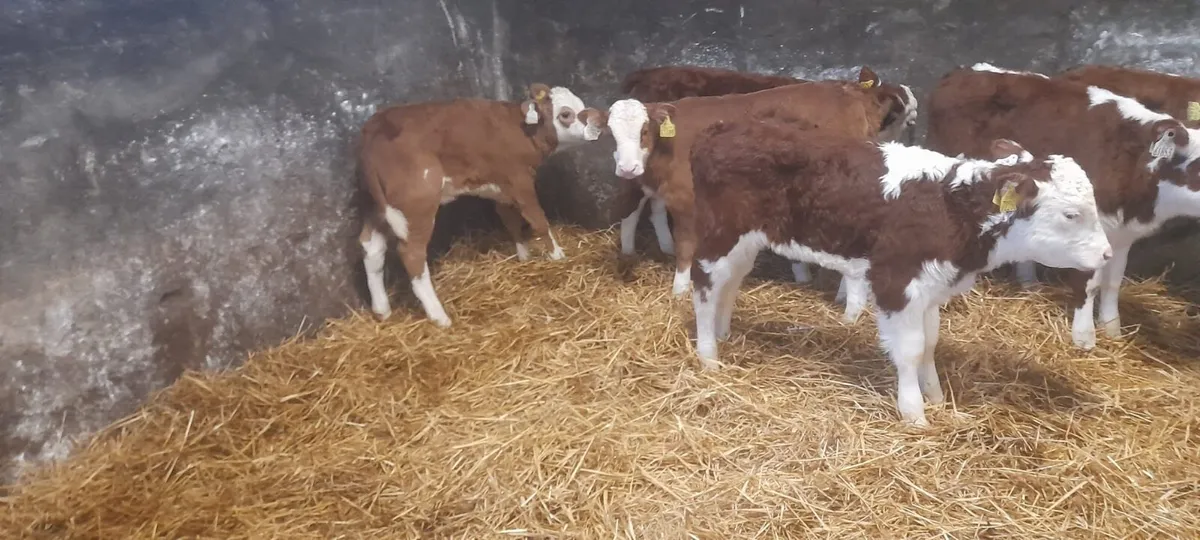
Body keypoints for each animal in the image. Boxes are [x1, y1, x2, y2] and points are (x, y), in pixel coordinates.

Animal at [358, 83, 604, 327]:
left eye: (580, 104)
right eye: (565, 114)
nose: (596, 123)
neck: (521, 130)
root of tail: (374, 127)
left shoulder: (500, 187)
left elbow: (510, 220)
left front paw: (524, 256)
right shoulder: (520, 181)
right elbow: (538, 220)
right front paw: (557, 256)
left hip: (384, 207)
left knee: (371, 245)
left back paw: (382, 309)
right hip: (416, 206)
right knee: (412, 255)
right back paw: (439, 317)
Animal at [597, 74, 919, 323]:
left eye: (644, 130)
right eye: (611, 133)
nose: (627, 167)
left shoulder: (686, 199)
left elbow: (685, 247)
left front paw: (679, 291)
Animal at [687, 116, 1112, 426]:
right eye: (1071, 214)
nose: (1107, 254)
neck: (951, 207)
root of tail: (718, 130)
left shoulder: (932, 286)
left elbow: (930, 343)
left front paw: (936, 396)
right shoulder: (897, 281)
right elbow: (910, 349)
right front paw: (915, 414)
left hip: (748, 239)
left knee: (731, 281)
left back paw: (724, 333)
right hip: (721, 233)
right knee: (704, 283)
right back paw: (709, 355)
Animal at [926, 64, 1200, 349]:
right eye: (1199, 167)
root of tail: (966, 70)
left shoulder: (1122, 234)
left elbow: (1113, 282)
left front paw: (1112, 330)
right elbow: (1090, 284)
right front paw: (1084, 337)